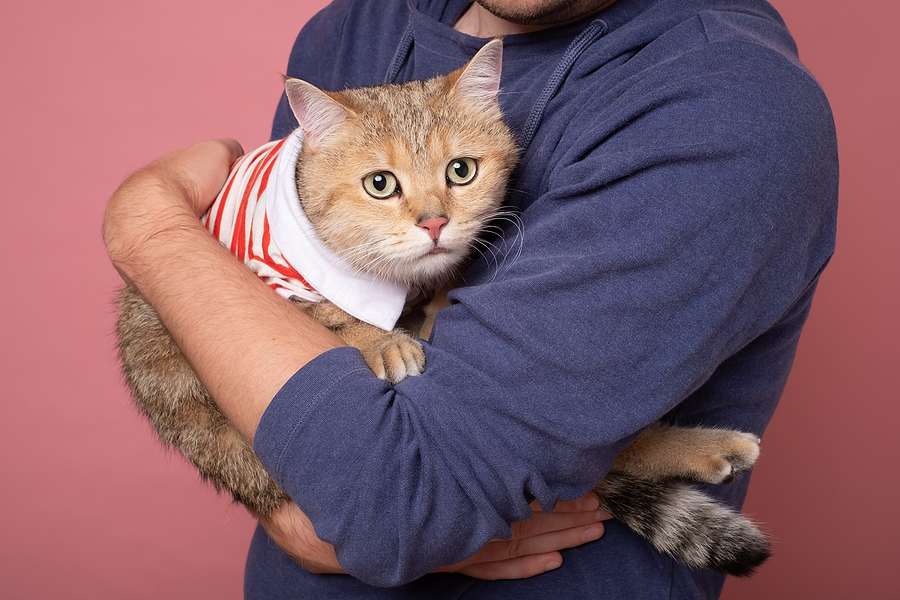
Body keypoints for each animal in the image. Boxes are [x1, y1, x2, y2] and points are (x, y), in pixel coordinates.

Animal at [116, 41, 768, 576]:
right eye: (380, 184)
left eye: (462, 170)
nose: (434, 223)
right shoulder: (275, 281)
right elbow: (334, 312)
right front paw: (382, 338)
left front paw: (429, 301)